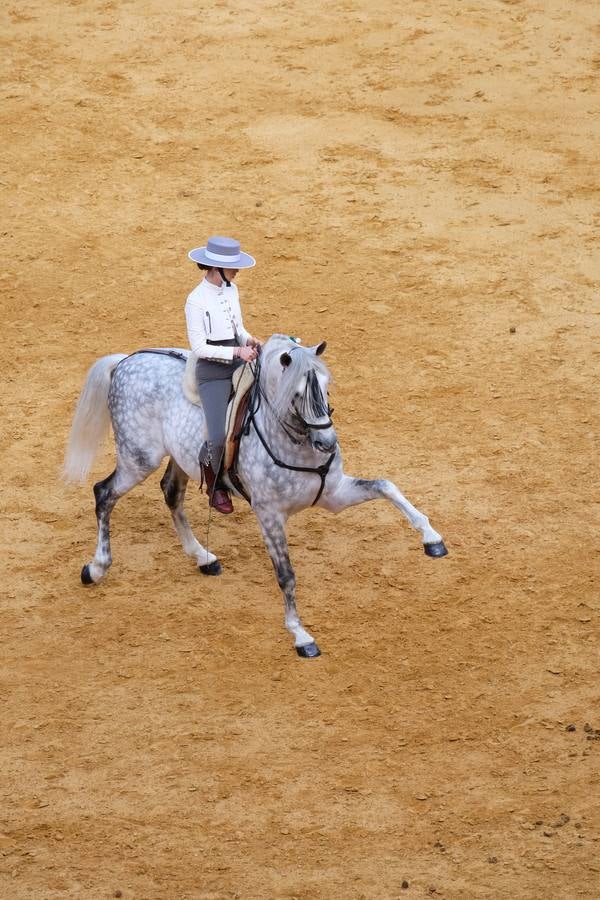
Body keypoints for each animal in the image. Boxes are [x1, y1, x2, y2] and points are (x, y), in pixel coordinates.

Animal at [64, 334, 446, 656]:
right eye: (296, 394)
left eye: (326, 386)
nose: (327, 443)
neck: (295, 443)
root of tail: (127, 360)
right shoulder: (269, 514)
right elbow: (286, 574)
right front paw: (300, 635)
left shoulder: (334, 494)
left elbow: (386, 485)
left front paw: (432, 538)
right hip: (138, 459)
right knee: (104, 494)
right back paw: (96, 568)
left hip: (178, 459)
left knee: (171, 493)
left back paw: (203, 557)